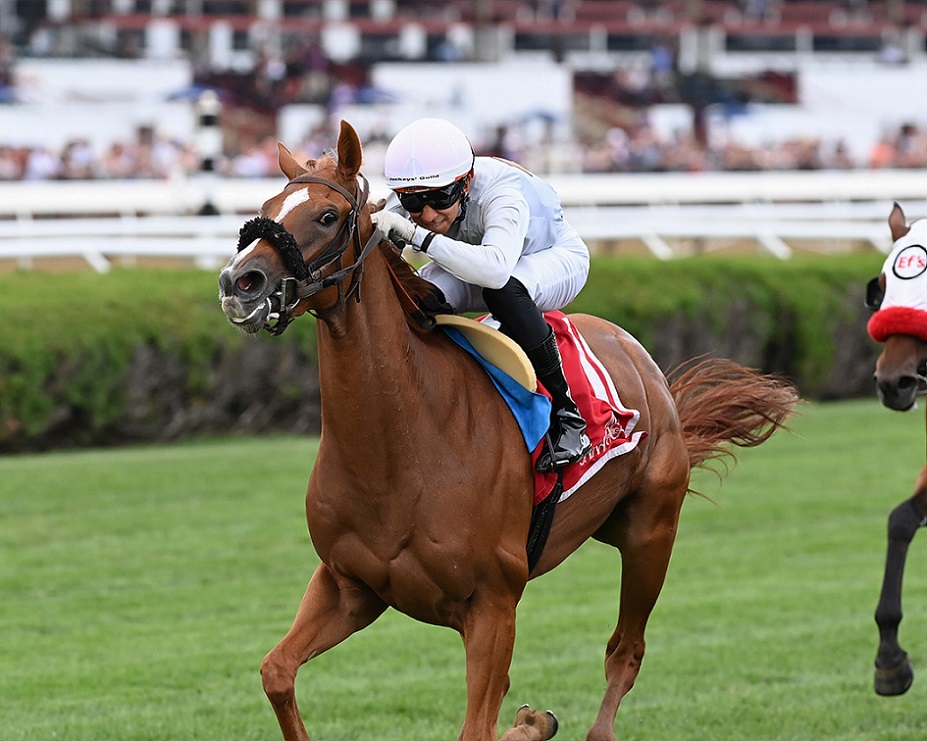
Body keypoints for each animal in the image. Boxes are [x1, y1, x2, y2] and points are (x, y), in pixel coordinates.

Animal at [218, 120, 797, 741]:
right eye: (266, 209)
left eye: (327, 216)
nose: (239, 281)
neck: (400, 450)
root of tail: (643, 362)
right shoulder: (349, 585)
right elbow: (277, 672)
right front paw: (530, 721)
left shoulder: (492, 605)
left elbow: (477, 726)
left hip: (650, 532)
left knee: (626, 650)